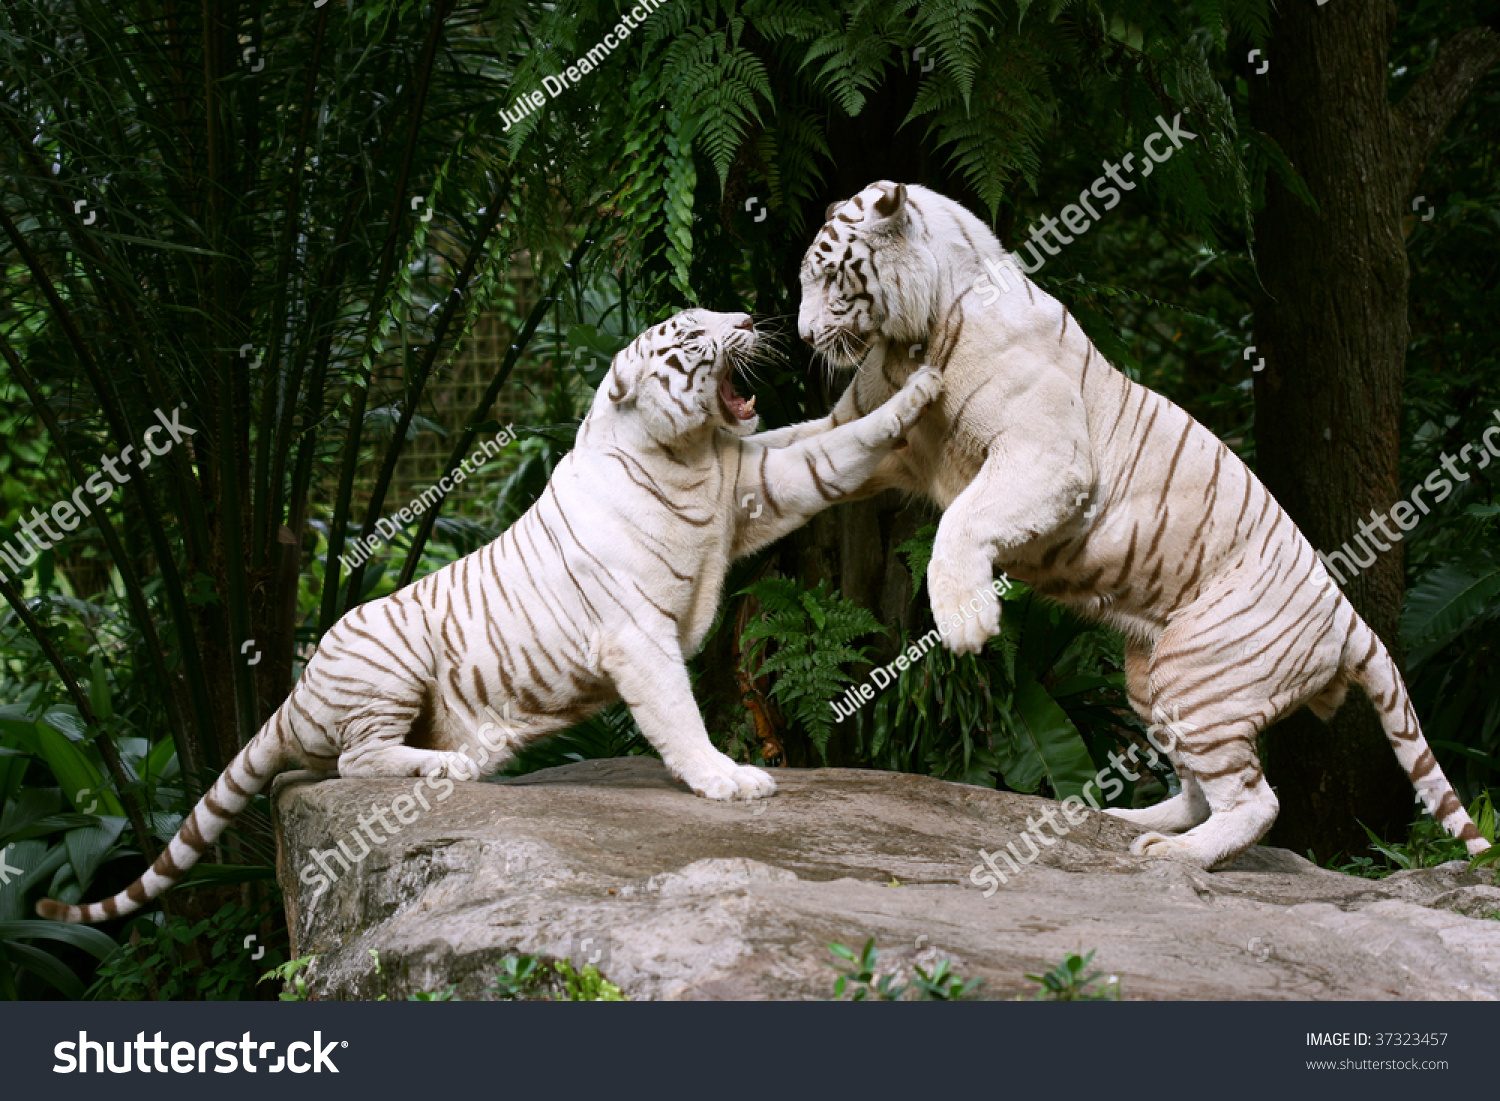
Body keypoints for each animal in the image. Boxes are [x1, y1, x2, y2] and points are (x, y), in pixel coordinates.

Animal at [38, 309, 936, 924]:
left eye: (716, 314)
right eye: (688, 335)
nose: (749, 320)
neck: (694, 456)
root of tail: (296, 691)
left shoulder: (757, 481)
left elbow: (829, 443)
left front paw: (906, 380)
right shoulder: (637, 634)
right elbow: (679, 713)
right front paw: (727, 778)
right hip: (387, 661)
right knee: (355, 759)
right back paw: (453, 765)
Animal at [780, 179, 1494, 870]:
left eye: (830, 276)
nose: (806, 338)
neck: (914, 335)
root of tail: (1348, 614)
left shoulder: (1046, 455)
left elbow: (962, 518)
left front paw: (966, 620)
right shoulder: (864, 430)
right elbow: (790, 454)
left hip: (1199, 678)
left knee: (1256, 800)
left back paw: (1177, 855)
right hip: (1153, 679)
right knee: (1201, 787)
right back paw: (1136, 821)